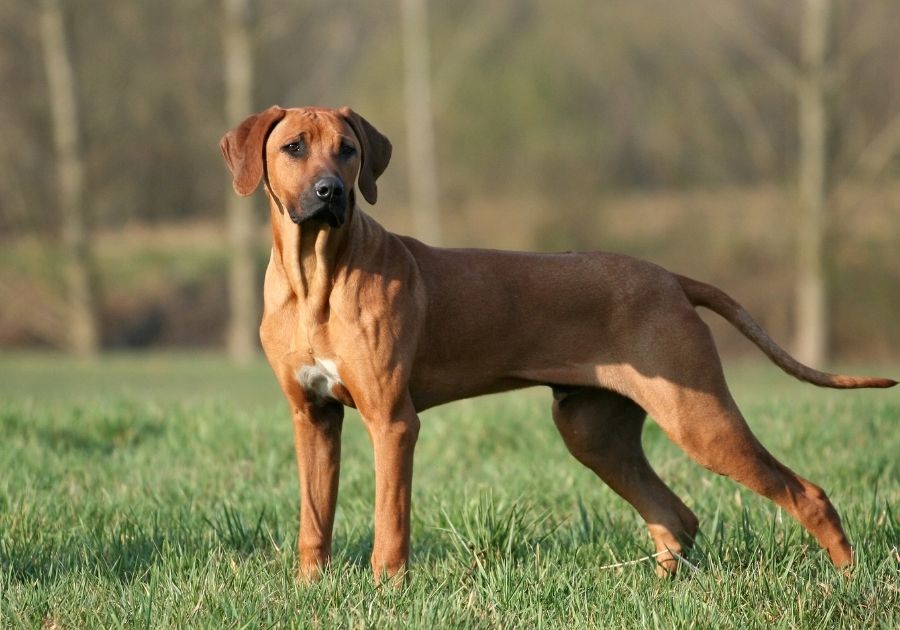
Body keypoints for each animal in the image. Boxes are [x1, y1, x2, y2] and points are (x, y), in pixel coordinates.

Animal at [221, 105, 896, 584]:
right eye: (293, 147)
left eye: (349, 150)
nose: (331, 191)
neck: (316, 276)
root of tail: (671, 277)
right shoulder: (312, 416)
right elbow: (314, 518)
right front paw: (310, 588)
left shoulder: (393, 420)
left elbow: (390, 521)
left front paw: (387, 592)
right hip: (593, 430)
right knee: (676, 515)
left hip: (698, 418)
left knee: (805, 494)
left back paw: (849, 582)